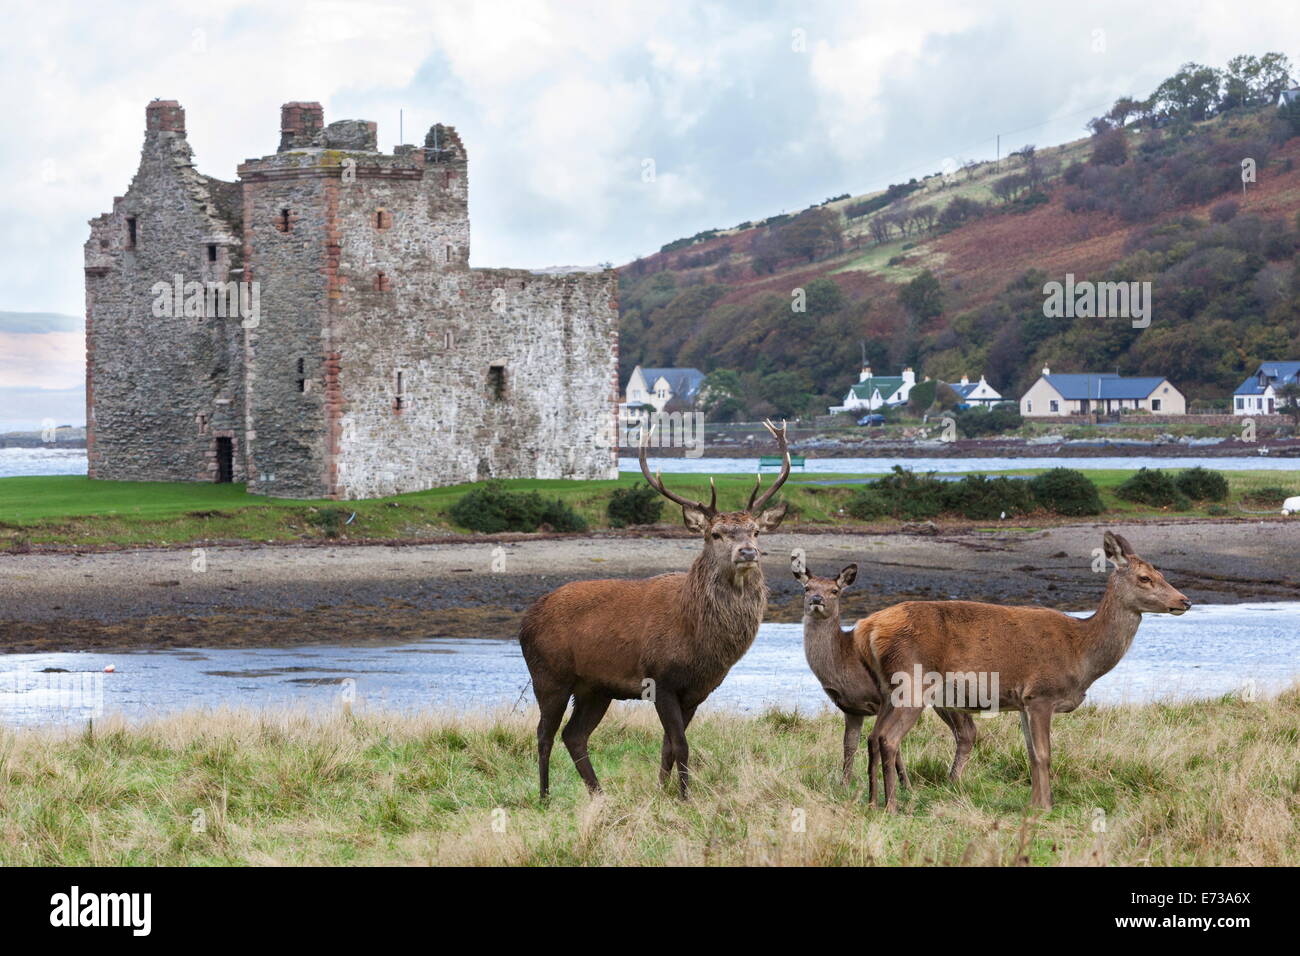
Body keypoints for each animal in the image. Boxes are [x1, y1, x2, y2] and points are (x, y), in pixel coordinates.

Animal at [517, 418, 790, 801]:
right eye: (715, 534)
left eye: (755, 531)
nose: (747, 552)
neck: (698, 637)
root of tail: (525, 620)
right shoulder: (660, 679)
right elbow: (681, 745)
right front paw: (685, 797)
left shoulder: (697, 691)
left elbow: (668, 747)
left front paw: (662, 793)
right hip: (549, 674)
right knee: (544, 734)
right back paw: (544, 796)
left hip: (595, 688)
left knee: (574, 735)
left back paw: (599, 793)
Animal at [790, 556, 977, 790]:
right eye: (807, 587)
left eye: (834, 590)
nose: (817, 599)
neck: (844, 663)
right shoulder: (851, 708)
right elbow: (849, 745)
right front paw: (844, 785)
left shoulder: (882, 699)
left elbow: (891, 746)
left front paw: (907, 786)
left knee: (966, 732)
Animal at [857, 535, 1190, 811]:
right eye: (1145, 577)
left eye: (1162, 574)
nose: (1184, 600)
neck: (1080, 653)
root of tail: (866, 628)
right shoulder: (1041, 693)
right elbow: (1044, 754)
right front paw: (1045, 806)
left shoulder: (1022, 702)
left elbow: (1030, 754)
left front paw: (1033, 804)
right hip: (912, 682)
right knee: (888, 738)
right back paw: (892, 806)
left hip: (888, 688)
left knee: (872, 737)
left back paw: (872, 802)